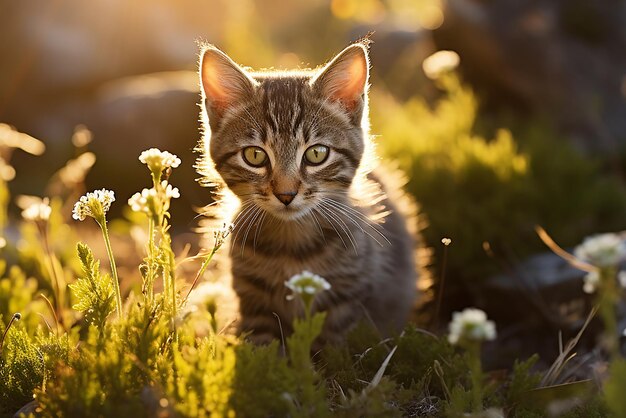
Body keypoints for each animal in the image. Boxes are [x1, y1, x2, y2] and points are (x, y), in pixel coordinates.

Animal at [197, 40, 416, 346]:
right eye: (254, 156)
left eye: (316, 154)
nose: (286, 194)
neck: (292, 245)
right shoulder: (254, 303)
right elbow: (264, 348)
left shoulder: (347, 301)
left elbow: (336, 349)